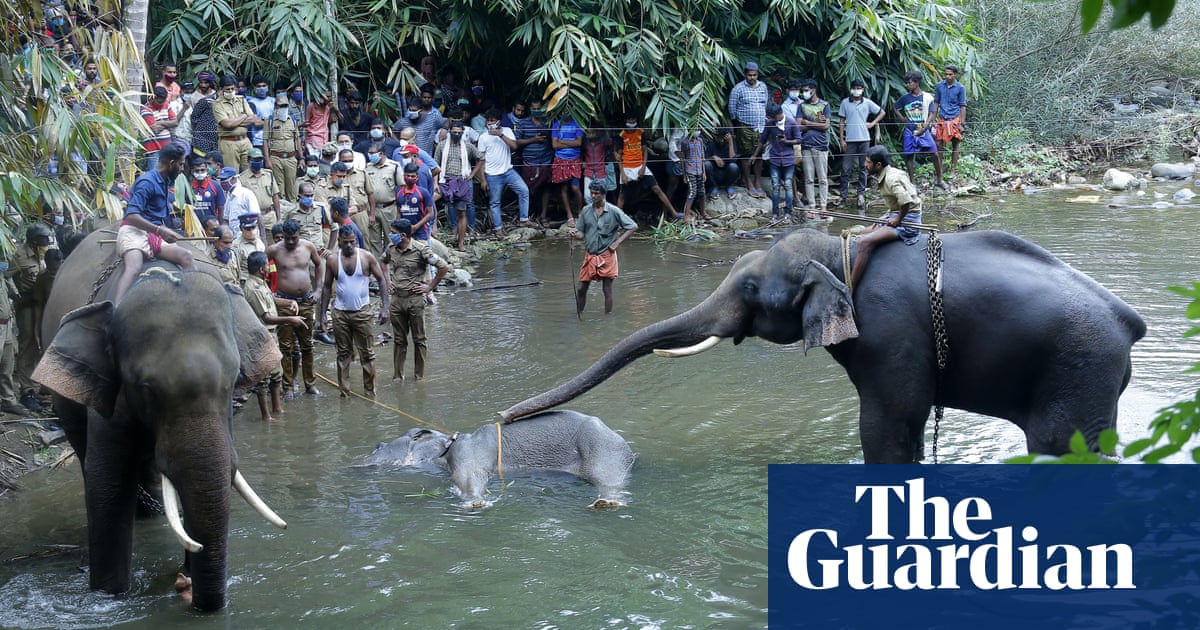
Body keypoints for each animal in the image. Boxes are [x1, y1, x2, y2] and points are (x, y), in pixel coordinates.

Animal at [31, 229, 287, 611]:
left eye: (232, 381)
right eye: (146, 388)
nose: (187, 588)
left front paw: (186, 577)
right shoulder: (113, 394)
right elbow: (107, 483)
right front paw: (109, 597)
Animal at [363, 410, 636, 508]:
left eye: (378, 447)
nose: (375, 445)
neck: (449, 442)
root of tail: (630, 452)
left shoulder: (469, 453)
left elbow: (468, 477)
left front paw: (477, 503)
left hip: (601, 450)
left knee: (608, 480)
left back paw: (606, 503)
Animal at [500, 229, 1146, 463]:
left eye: (751, 288)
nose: (503, 417)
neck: (844, 249)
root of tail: (1128, 320)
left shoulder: (891, 333)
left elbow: (888, 424)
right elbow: (905, 428)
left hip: (1078, 365)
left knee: (1062, 446)